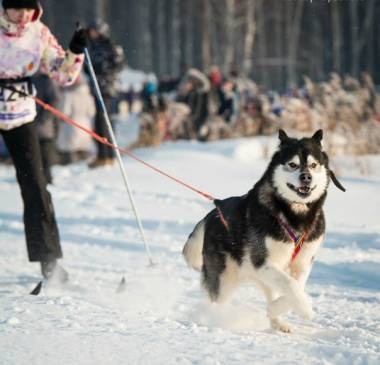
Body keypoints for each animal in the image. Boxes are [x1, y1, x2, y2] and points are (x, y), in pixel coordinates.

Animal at [183, 129, 346, 332]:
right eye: (292, 164)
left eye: (313, 165)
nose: (306, 177)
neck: (295, 216)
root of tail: (214, 211)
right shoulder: (263, 262)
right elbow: (291, 284)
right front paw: (305, 309)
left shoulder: (303, 262)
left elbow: (297, 285)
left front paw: (276, 308)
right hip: (224, 279)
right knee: (215, 300)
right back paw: (215, 318)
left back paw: (278, 322)